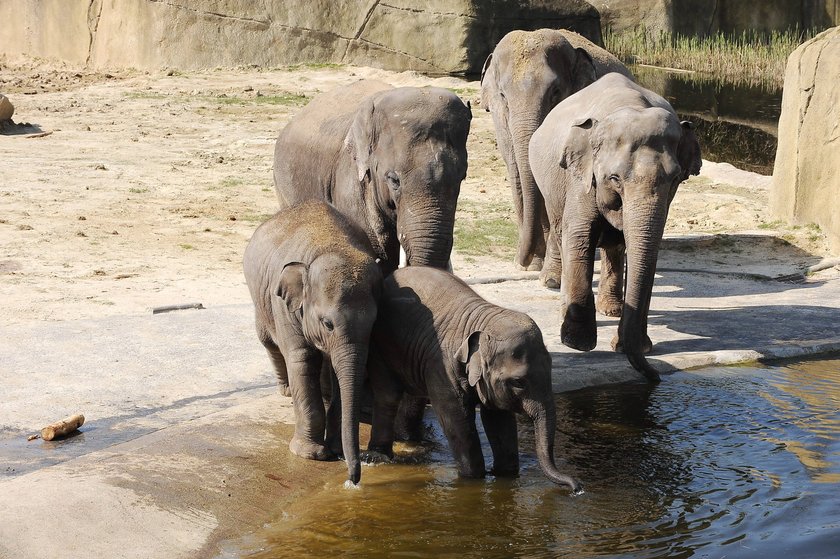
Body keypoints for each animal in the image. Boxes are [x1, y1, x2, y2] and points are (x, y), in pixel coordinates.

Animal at [243, 201, 384, 486]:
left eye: (375, 324)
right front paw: (312, 455)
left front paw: (336, 449)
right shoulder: (285, 306)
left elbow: (340, 372)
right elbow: (303, 360)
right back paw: (286, 390)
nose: (353, 480)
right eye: (327, 323)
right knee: (269, 342)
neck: (332, 245)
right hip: (260, 299)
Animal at [368, 266, 584, 494]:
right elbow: (457, 419)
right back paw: (379, 457)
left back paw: (409, 441)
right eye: (518, 382)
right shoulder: (442, 368)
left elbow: (498, 420)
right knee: (388, 394)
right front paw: (474, 478)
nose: (577, 488)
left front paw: (504, 475)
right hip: (379, 346)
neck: (482, 323)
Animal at [480, 29, 632, 274]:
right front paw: (532, 265)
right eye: (502, 96)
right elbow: (517, 175)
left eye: (556, 92)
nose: (520, 260)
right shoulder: (501, 122)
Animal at [532, 72, 704, 382]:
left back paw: (610, 310)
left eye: (675, 179)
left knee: (616, 244)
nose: (656, 378)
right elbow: (579, 236)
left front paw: (634, 347)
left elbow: (646, 250)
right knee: (562, 230)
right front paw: (578, 344)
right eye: (614, 178)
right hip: (550, 184)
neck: (630, 106)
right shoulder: (581, 177)